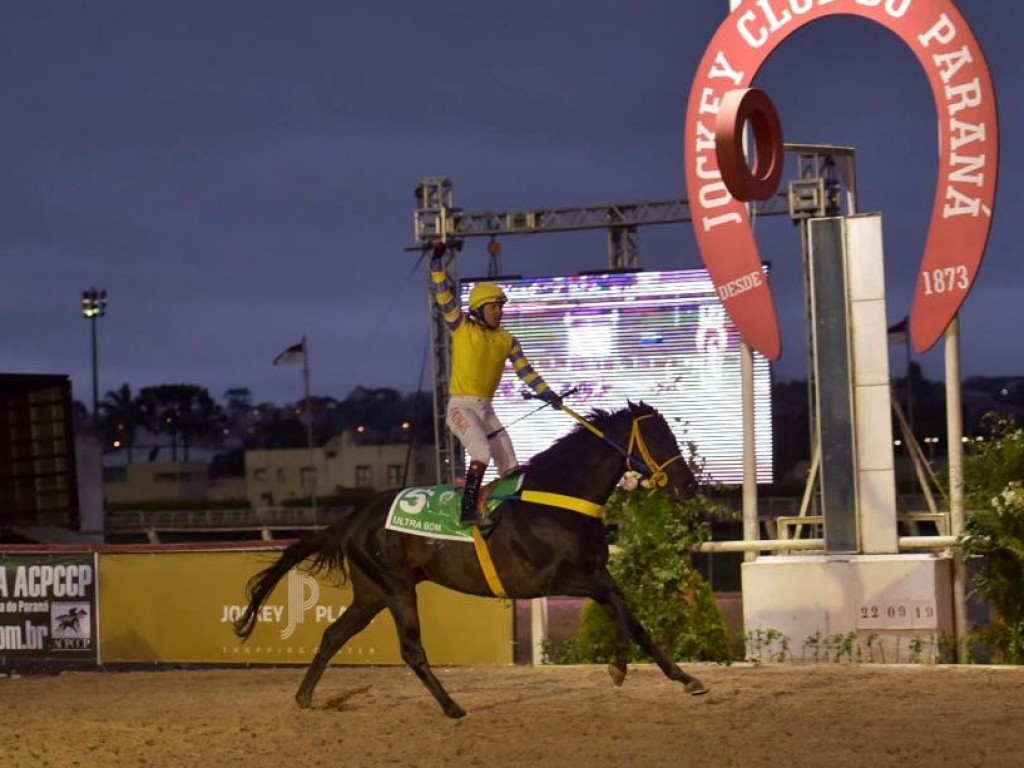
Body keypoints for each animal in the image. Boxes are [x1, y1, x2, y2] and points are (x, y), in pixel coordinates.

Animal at [234, 399, 708, 720]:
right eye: (657, 438)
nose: (688, 486)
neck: (557, 498)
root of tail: (352, 519)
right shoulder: (553, 579)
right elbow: (619, 608)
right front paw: (618, 666)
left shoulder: (593, 571)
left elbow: (632, 617)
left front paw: (684, 678)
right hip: (396, 588)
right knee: (411, 649)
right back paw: (451, 707)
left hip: (371, 593)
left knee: (334, 635)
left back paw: (305, 696)